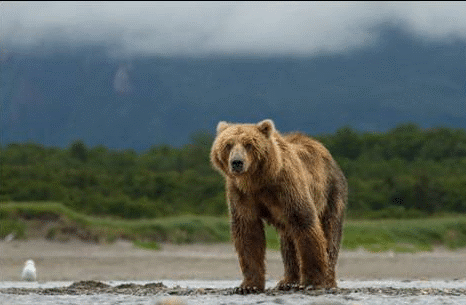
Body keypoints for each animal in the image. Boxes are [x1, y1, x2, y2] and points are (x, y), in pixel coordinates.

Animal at [210, 118, 346, 292]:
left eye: (249, 144)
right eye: (228, 144)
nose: (237, 163)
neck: (258, 181)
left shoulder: (287, 186)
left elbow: (305, 222)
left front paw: (312, 281)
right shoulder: (241, 194)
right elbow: (248, 232)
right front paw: (248, 285)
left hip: (331, 192)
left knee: (330, 232)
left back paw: (328, 280)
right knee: (288, 242)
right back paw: (288, 281)